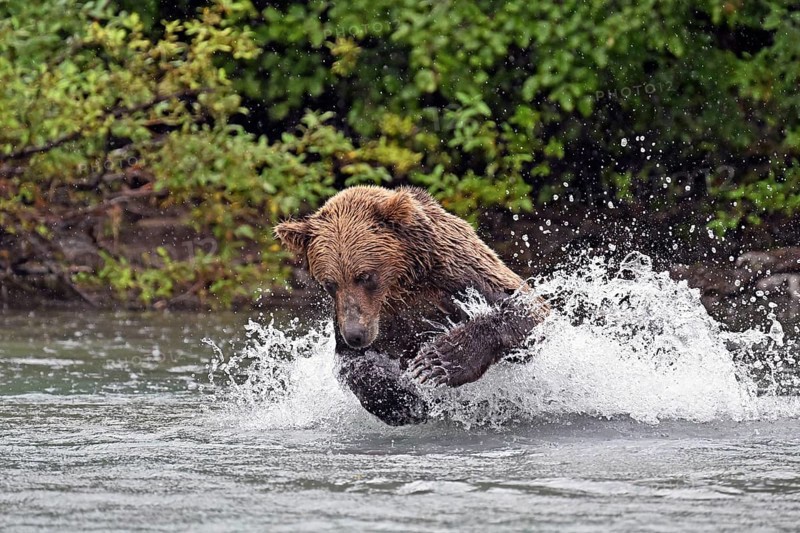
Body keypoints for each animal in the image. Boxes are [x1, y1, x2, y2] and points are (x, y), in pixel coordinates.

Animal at [275, 186, 549, 425]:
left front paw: (435, 362)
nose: (355, 334)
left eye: (365, 276)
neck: (401, 283)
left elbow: (525, 311)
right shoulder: (372, 318)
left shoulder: (457, 271)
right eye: (330, 283)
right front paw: (400, 401)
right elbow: (353, 364)